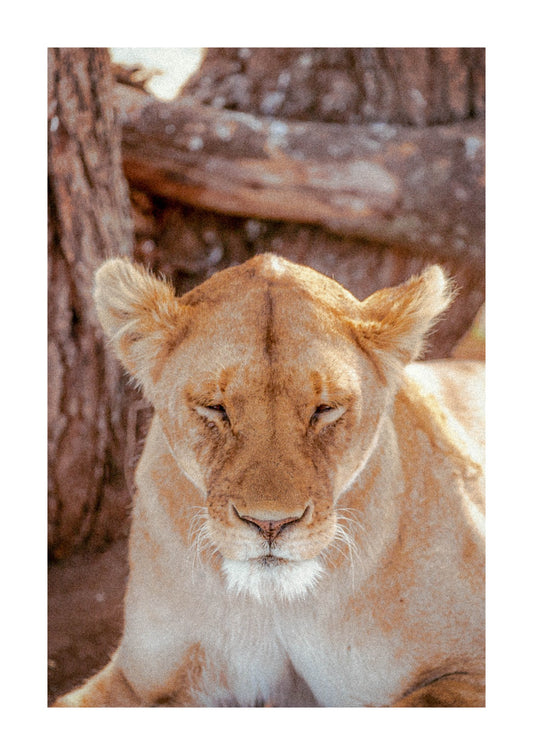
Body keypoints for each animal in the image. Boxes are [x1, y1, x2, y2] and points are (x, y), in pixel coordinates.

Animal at [54, 254, 484, 707]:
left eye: (324, 409)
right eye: (216, 408)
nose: (270, 524)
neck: (277, 603)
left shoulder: (470, 665)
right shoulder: (141, 679)